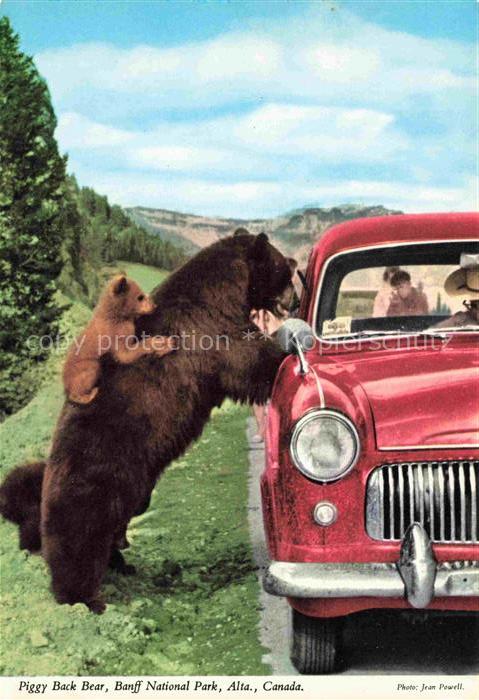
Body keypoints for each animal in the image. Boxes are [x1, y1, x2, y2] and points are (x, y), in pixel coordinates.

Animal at [63, 275, 174, 404]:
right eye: (140, 297)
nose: (155, 306)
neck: (116, 317)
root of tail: (65, 385)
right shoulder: (117, 340)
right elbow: (128, 354)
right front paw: (162, 343)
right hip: (90, 366)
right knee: (76, 392)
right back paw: (88, 396)